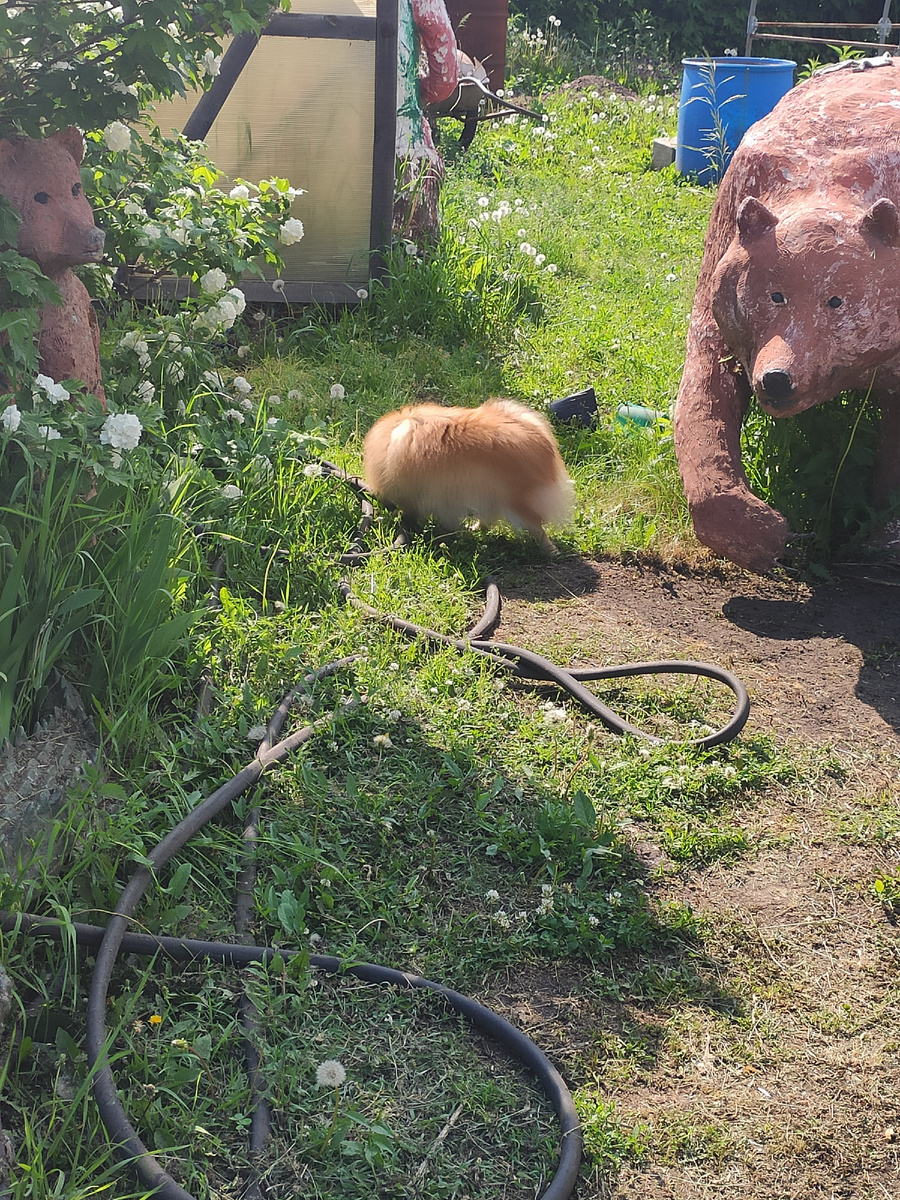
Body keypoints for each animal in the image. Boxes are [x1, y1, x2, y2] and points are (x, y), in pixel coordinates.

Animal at [362, 400, 573, 554]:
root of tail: (542, 441)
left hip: (517, 504)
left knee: (537, 529)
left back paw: (550, 552)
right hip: (493, 497)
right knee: (489, 520)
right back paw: (473, 528)